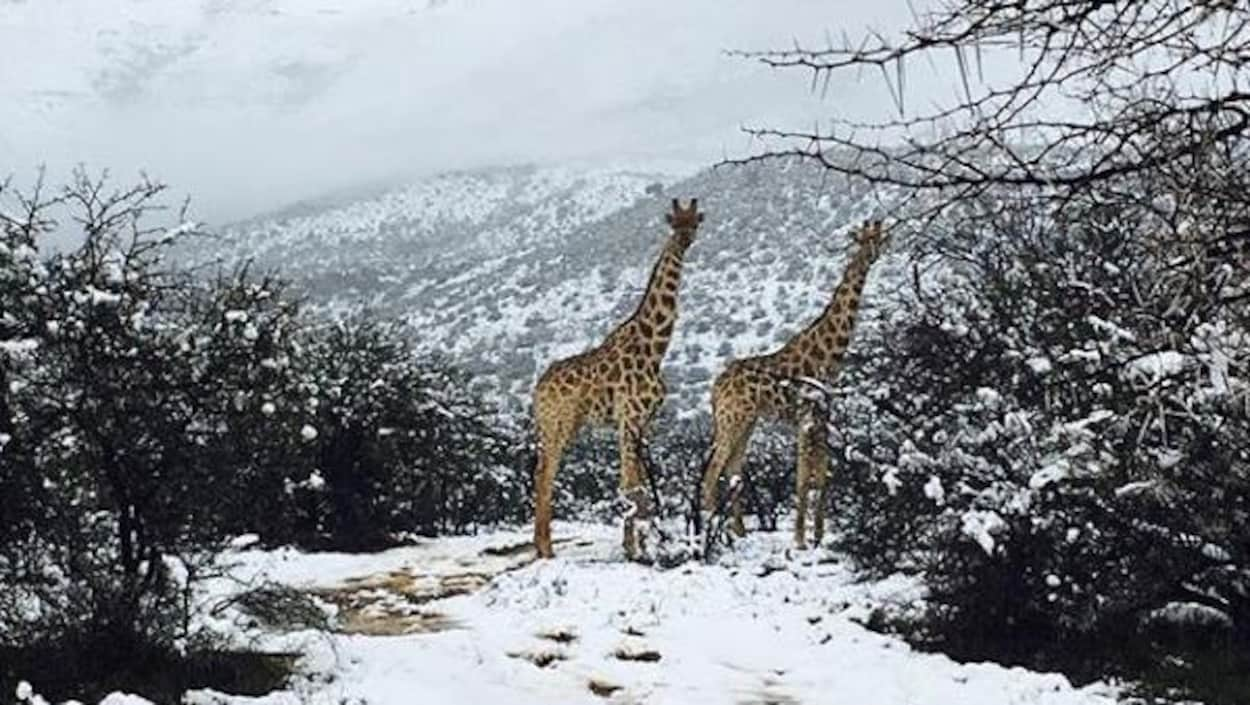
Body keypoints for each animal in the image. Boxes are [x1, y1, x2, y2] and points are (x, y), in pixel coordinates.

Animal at [527, 198, 705, 562]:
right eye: (673, 222)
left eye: (695, 221)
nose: (684, 241)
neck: (655, 348)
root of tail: (538, 389)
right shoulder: (629, 417)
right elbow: (630, 486)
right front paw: (634, 550)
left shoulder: (643, 421)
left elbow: (640, 487)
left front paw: (642, 546)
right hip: (558, 424)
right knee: (545, 474)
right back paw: (546, 549)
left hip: (557, 426)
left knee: (541, 472)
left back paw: (541, 546)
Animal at [705, 217, 890, 547]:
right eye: (863, 239)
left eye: (878, 237)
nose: (872, 254)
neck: (829, 352)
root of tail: (715, 389)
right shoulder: (808, 414)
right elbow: (804, 477)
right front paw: (802, 538)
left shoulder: (822, 414)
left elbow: (822, 474)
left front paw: (817, 535)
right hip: (732, 419)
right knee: (714, 470)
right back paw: (711, 530)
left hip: (746, 422)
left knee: (732, 468)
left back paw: (738, 532)